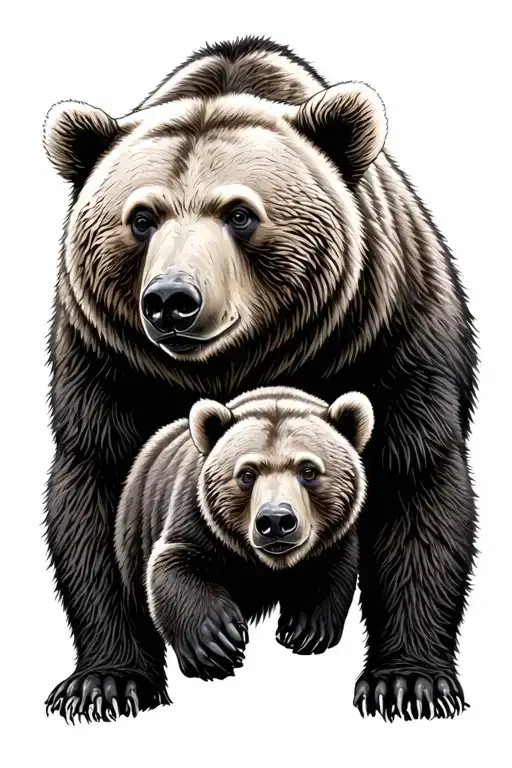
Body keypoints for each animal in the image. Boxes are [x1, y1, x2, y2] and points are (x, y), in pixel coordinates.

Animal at [114, 386, 374, 684]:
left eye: (308, 470)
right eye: (247, 474)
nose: (275, 520)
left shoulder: (333, 537)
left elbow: (331, 568)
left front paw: (304, 630)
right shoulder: (196, 518)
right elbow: (174, 561)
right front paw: (216, 644)